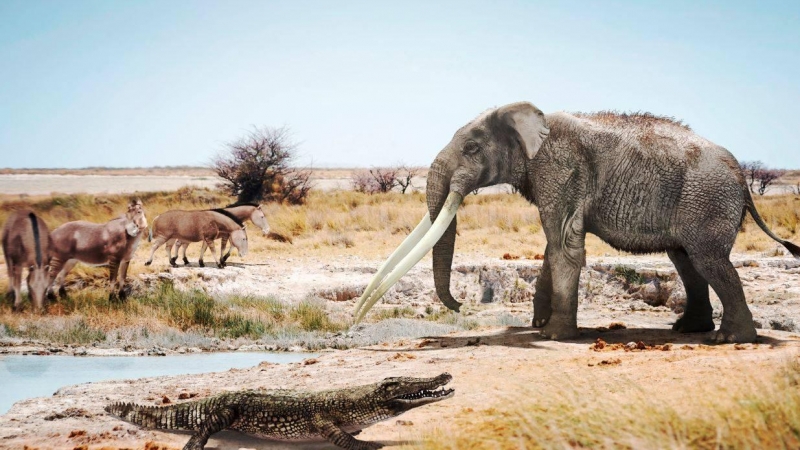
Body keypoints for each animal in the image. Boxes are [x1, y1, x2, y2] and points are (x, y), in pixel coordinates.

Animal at [356, 100, 800, 342]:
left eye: (471, 149)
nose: (462, 306)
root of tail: (741, 175)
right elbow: (552, 246)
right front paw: (539, 326)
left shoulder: (560, 169)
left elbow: (563, 246)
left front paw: (552, 336)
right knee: (687, 261)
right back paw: (687, 330)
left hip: (707, 199)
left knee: (708, 261)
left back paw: (728, 338)